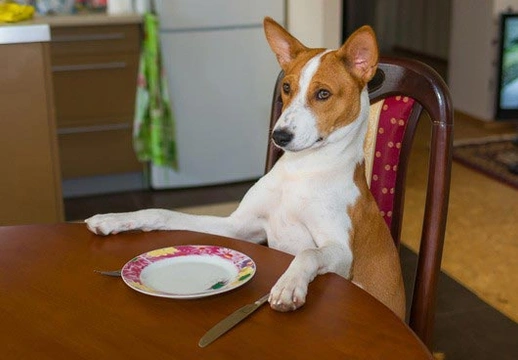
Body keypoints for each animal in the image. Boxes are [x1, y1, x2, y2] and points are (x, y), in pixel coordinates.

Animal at [87, 16, 408, 320]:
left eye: (323, 94)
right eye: (287, 88)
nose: (279, 136)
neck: (301, 171)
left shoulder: (341, 251)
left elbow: (307, 252)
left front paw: (288, 285)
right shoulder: (238, 227)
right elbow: (161, 213)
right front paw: (114, 219)